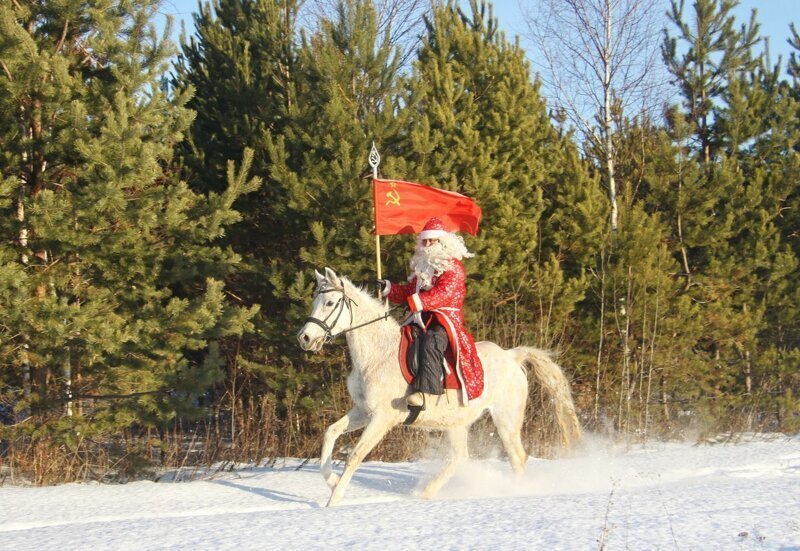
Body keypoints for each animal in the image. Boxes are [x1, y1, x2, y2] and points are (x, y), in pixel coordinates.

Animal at [296, 268, 580, 508]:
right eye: (314, 301)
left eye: (330, 303)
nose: (305, 338)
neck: (377, 355)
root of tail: (512, 356)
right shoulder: (363, 411)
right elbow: (330, 433)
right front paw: (331, 481)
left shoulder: (382, 418)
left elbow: (355, 455)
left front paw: (333, 501)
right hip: (456, 423)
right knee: (460, 457)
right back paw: (427, 492)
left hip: (506, 418)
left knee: (518, 458)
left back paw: (512, 494)